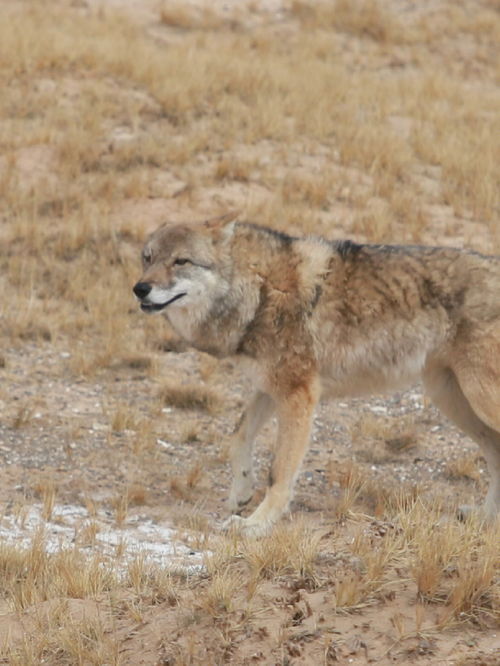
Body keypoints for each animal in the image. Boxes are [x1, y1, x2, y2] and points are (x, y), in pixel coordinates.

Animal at [133, 213, 500, 536]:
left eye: (181, 261)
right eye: (147, 258)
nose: (140, 288)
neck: (258, 288)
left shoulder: (298, 394)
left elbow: (279, 472)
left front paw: (256, 526)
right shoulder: (270, 386)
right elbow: (238, 436)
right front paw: (241, 491)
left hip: (476, 397)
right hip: (452, 399)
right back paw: (485, 518)